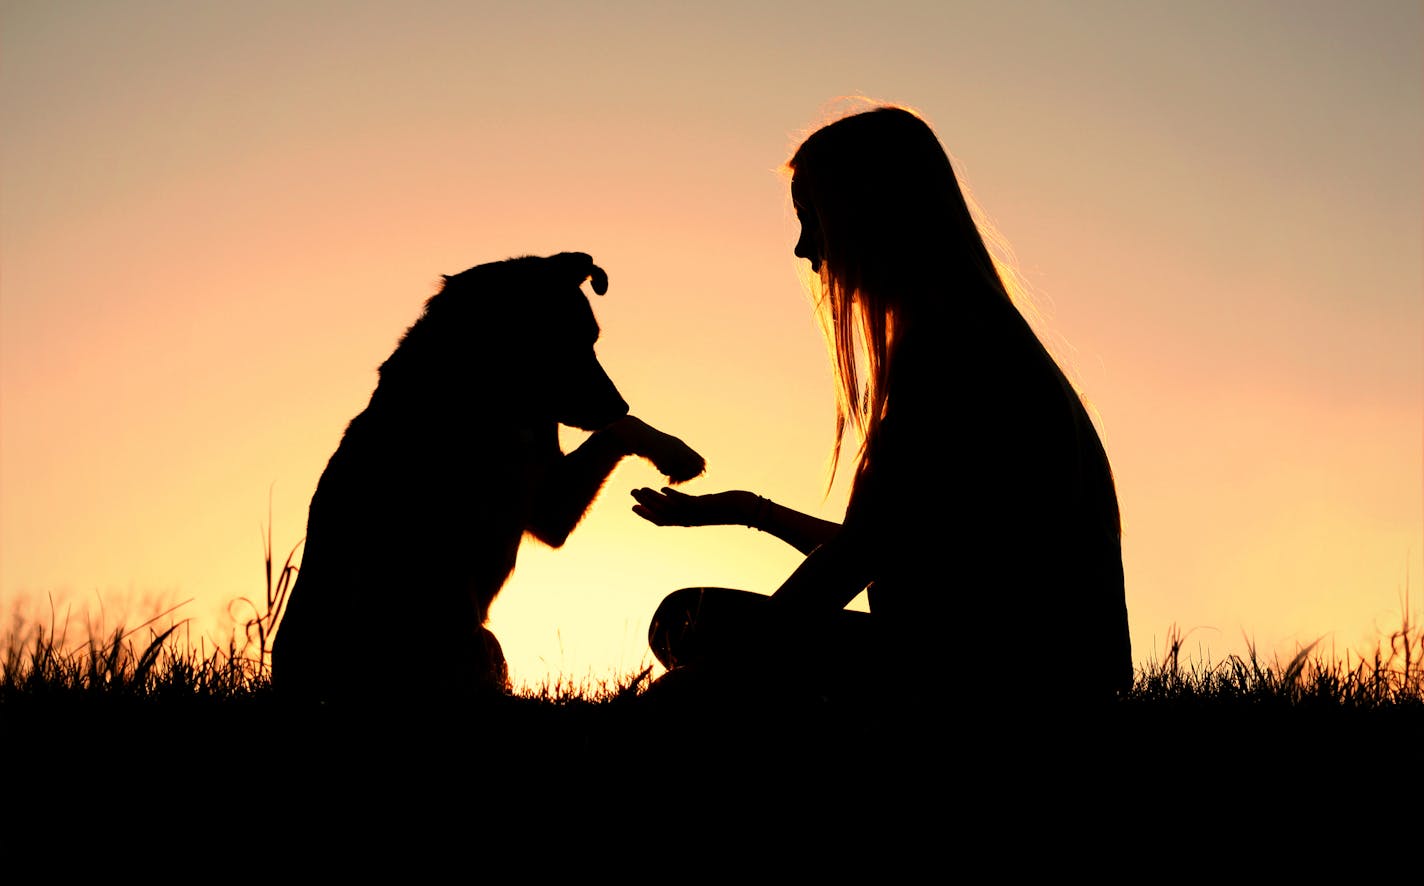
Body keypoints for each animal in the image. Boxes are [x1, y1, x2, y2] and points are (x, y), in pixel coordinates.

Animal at [269, 253, 703, 703]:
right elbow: (619, 430)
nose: (620, 403)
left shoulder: (547, 506)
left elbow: (618, 431)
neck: (490, 395)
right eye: (564, 341)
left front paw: (676, 452)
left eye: (593, 338)